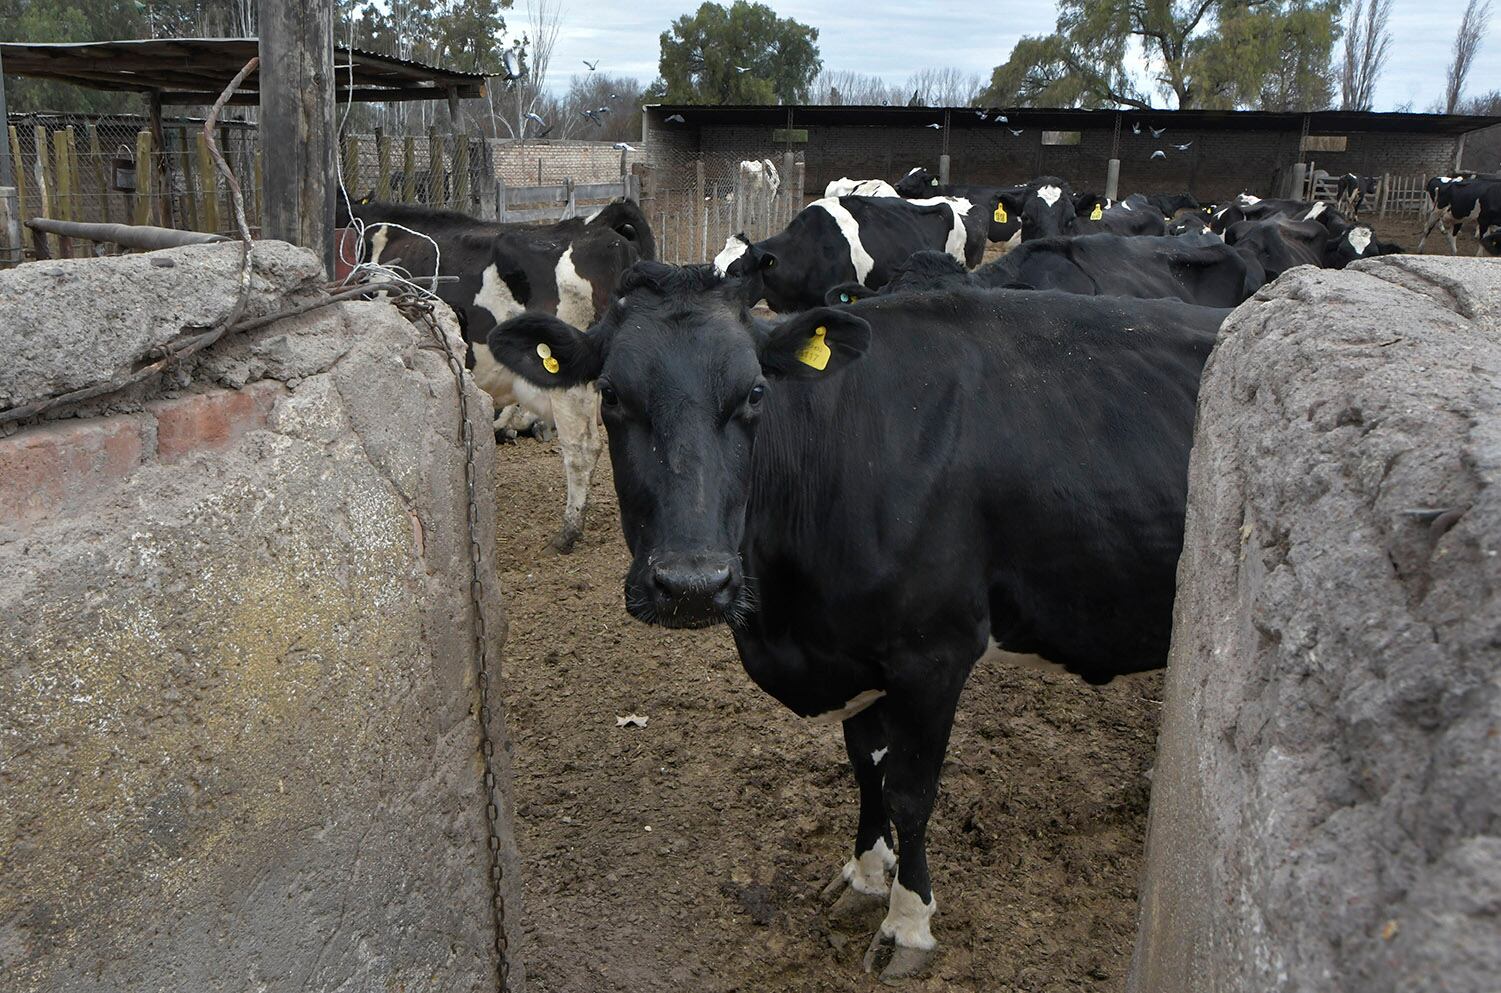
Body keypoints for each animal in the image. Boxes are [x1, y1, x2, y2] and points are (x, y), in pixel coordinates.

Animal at [486, 264, 1224, 990]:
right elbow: (866, 766)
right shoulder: (850, 647)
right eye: (610, 392)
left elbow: (911, 789)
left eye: (755, 392)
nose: (691, 585)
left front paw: (908, 922)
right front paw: (865, 876)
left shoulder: (934, 653)